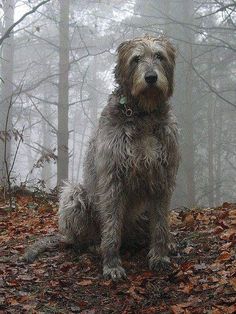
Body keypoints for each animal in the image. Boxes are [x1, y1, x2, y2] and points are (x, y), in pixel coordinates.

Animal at [23, 35, 179, 280]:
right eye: (136, 59)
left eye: (159, 56)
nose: (151, 78)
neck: (142, 114)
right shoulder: (113, 177)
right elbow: (112, 225)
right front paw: (112, 264)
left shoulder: (163, 175)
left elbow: (162, 223)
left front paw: (160, 255)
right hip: (75, 195)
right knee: (80, 236)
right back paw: (94, 245)